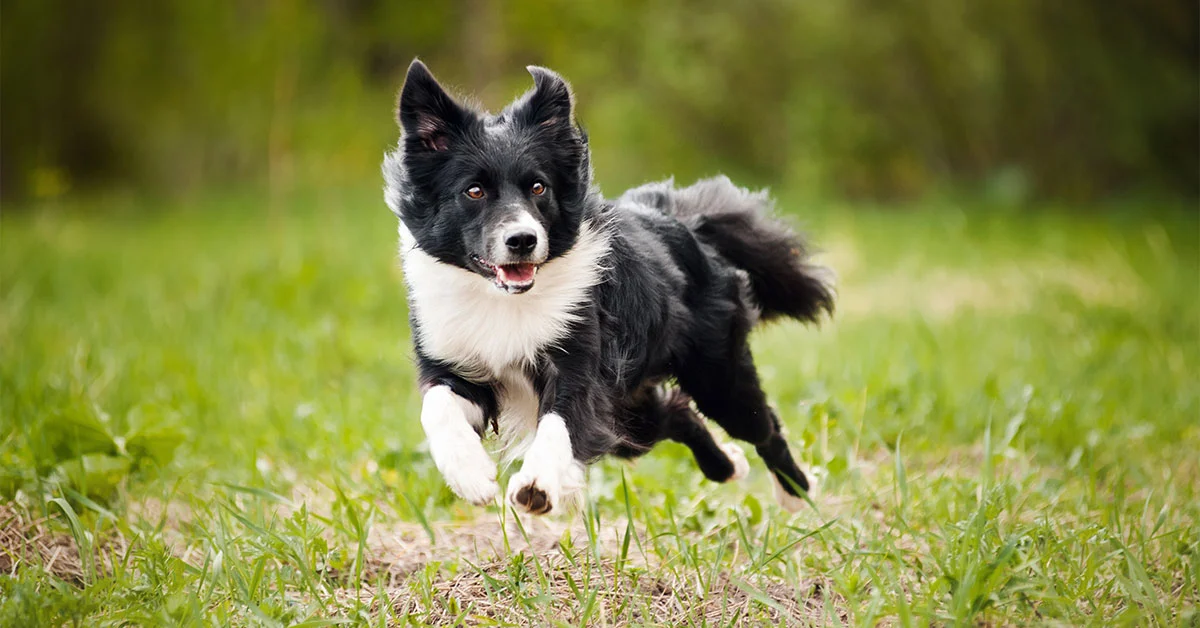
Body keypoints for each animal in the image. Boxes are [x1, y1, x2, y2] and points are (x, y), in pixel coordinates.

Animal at [384, 61, 835, 516]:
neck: (504, 300)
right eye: (473, 191)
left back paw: (797, 492)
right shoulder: (454, 359)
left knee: (762, 426)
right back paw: (728, 466)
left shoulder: (580, 358)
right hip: (630, 410)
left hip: (717, 376)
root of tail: (684, 221)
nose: (523, 240)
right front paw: (470, 475)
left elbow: (560, 421)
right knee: (675, 414)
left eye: (538, 187)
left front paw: (536, 486)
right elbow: (436, 406)